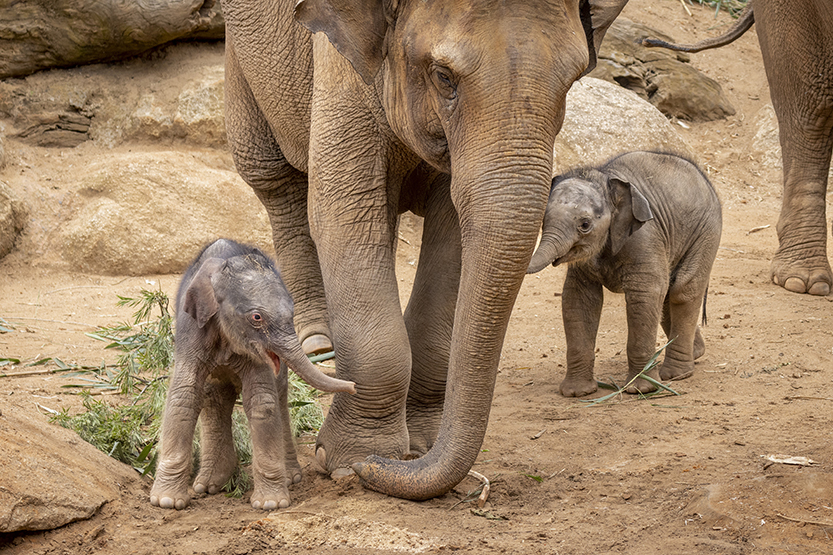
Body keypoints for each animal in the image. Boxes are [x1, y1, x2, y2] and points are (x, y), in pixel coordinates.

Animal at [150, 240, 352, 512]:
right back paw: (210, 485)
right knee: (213, 398)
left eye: (292, 313)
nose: (353, 385)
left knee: (278, 396)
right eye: (256, 317)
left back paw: (289, 478)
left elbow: (262, 401)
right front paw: (167, 502)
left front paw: (270, 504)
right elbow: (184, 397)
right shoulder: (191, 331)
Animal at [219, 0, 624, 500]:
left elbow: (453, 231)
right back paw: (315, 342)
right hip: (243, 58)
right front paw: (350, 462)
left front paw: (414, 448)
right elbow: (344, 210)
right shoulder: (340, 65)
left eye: (572, 80)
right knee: (275, 178)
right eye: (443, 76)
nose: (373, 470)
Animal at [528, 150, 720, 398]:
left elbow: (645, 294)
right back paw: (695, 353)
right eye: (543, 221)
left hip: (706, 232)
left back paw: (675, 375)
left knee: (683, 290)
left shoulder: (644, 237)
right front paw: (577, 393)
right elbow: (578, 299)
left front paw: (642, 389)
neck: (604, 178)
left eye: (585, 224)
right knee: (669, 293)